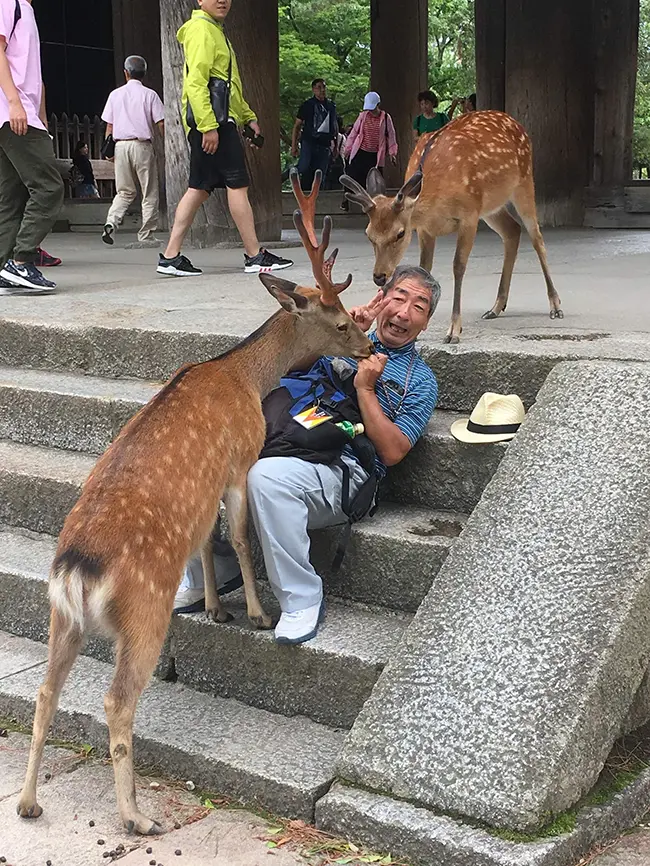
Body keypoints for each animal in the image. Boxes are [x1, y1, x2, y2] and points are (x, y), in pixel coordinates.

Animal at [16, 169, 373, 836]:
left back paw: (28, 802)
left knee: (47, 692)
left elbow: (207, 540)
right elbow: (239, 538)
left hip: (59, 616)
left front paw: (214, 608)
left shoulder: (205, 489)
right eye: (341, 321)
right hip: (142, 613)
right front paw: (253, 614)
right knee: (116, 700)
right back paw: (135, 816)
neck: (244, 377)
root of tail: (76, 569)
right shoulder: (236, 463)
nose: (366, 350)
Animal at [341, 110, 563, 344]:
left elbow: (458, 266)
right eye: (369, 235)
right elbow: (424, 268)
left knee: (536, 238)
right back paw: (496, 307)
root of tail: (516, 123)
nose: (379, 276)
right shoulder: (425, 229)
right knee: (512, 231)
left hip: (524, 182)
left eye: (400, 233)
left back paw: (555, 305)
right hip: (491, 207)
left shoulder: (469, 215)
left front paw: (454, 330)